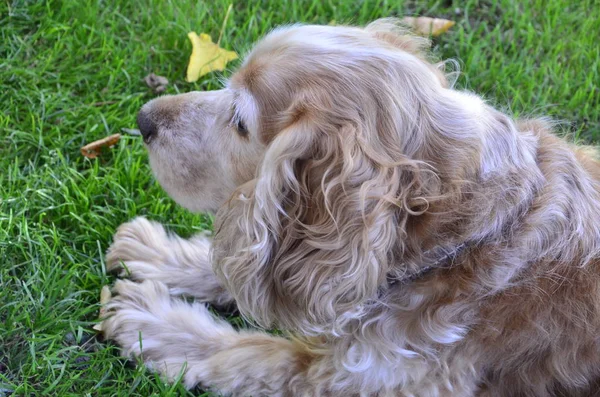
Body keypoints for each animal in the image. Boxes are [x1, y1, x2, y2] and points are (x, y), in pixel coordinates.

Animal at [101, 19, 600, 396]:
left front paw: (153, 322)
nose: (144, 119)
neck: (472, 232)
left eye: (240, 122)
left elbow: (250, 353)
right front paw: (155, 252)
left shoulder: (369, 380)